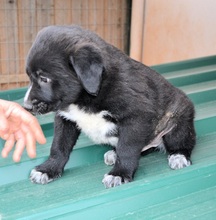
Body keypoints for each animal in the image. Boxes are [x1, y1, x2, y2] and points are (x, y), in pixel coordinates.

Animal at [23, 25, 196, 187]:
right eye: (30, 77)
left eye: (44, 79)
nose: (26, 107)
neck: (85, 96)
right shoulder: (65, 119)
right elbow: (58, 146)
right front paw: (48, 169)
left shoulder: (137, 117)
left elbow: (127, 149)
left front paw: (120, 173)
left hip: (177, 122)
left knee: (184, 142)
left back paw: (179, 156)